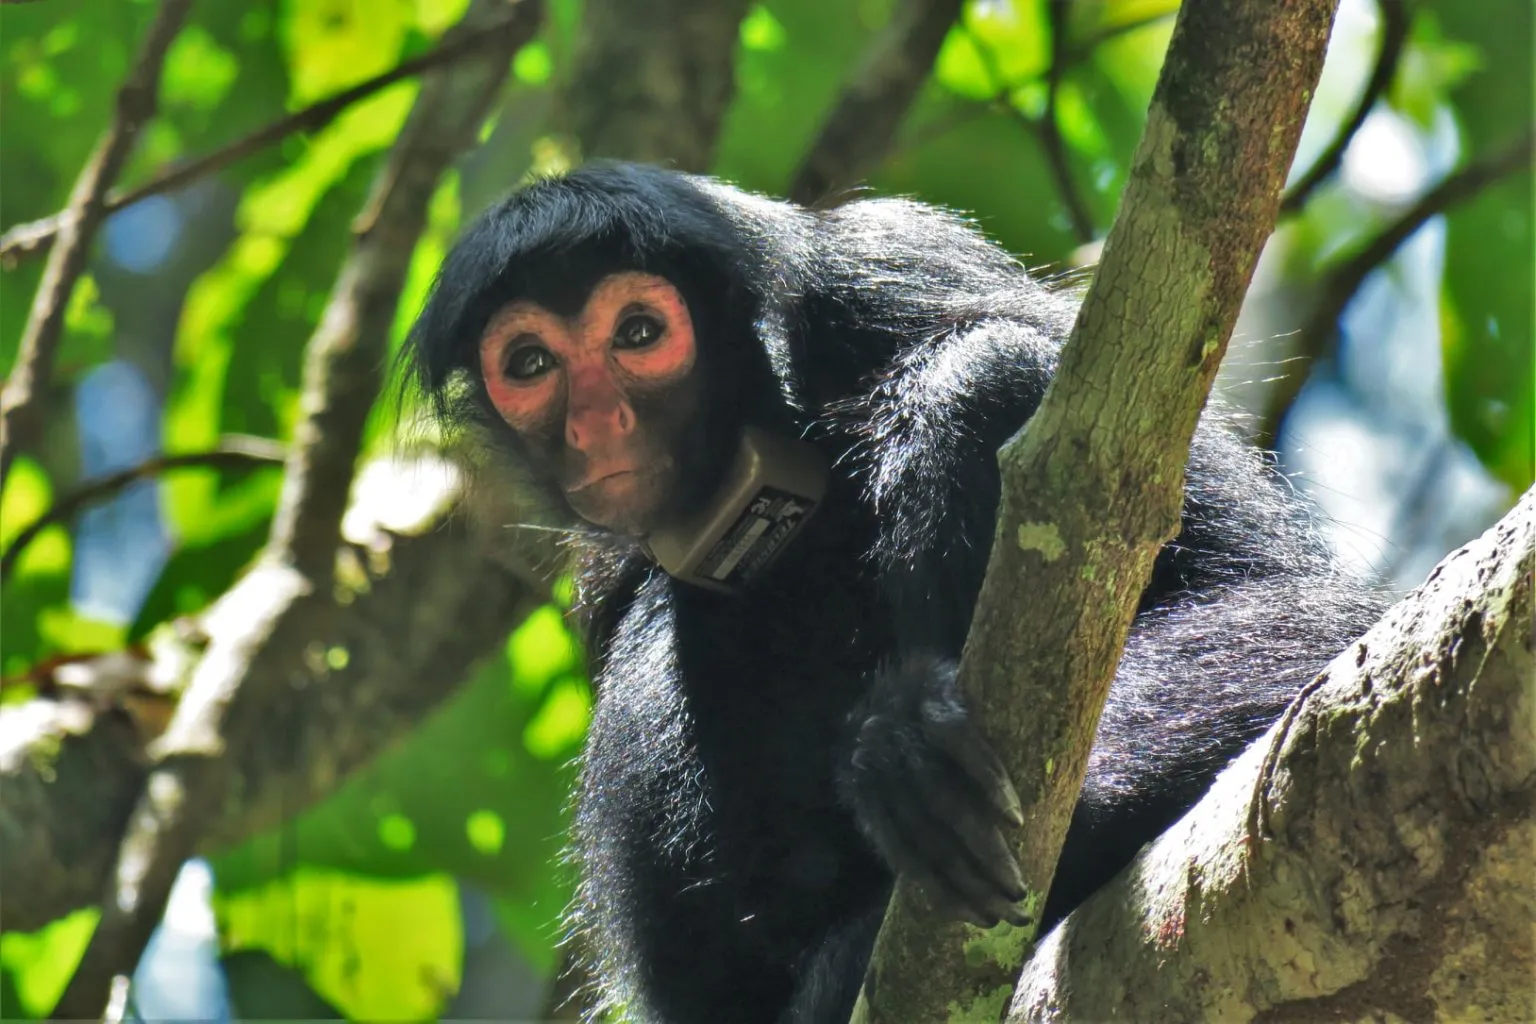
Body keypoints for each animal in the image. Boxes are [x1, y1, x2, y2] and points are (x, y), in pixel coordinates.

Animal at [403, 162, 1386, 1024]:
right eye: (531, 363)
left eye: (639, 335)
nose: (597, 422)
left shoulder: (896, 273)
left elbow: (1310, 609)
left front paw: (914, 755)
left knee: (980, 374)